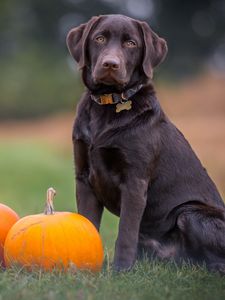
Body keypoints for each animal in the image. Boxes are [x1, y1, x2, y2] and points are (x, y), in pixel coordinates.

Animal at [66, 14, 225, 274]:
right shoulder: (84, 177)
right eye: (99, 38)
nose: (110, 64)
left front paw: (120, 271)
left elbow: (126, 232)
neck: (108, 105)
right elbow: (88, 223)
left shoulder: (135, 181)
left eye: (131, 43)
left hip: (190, 213)